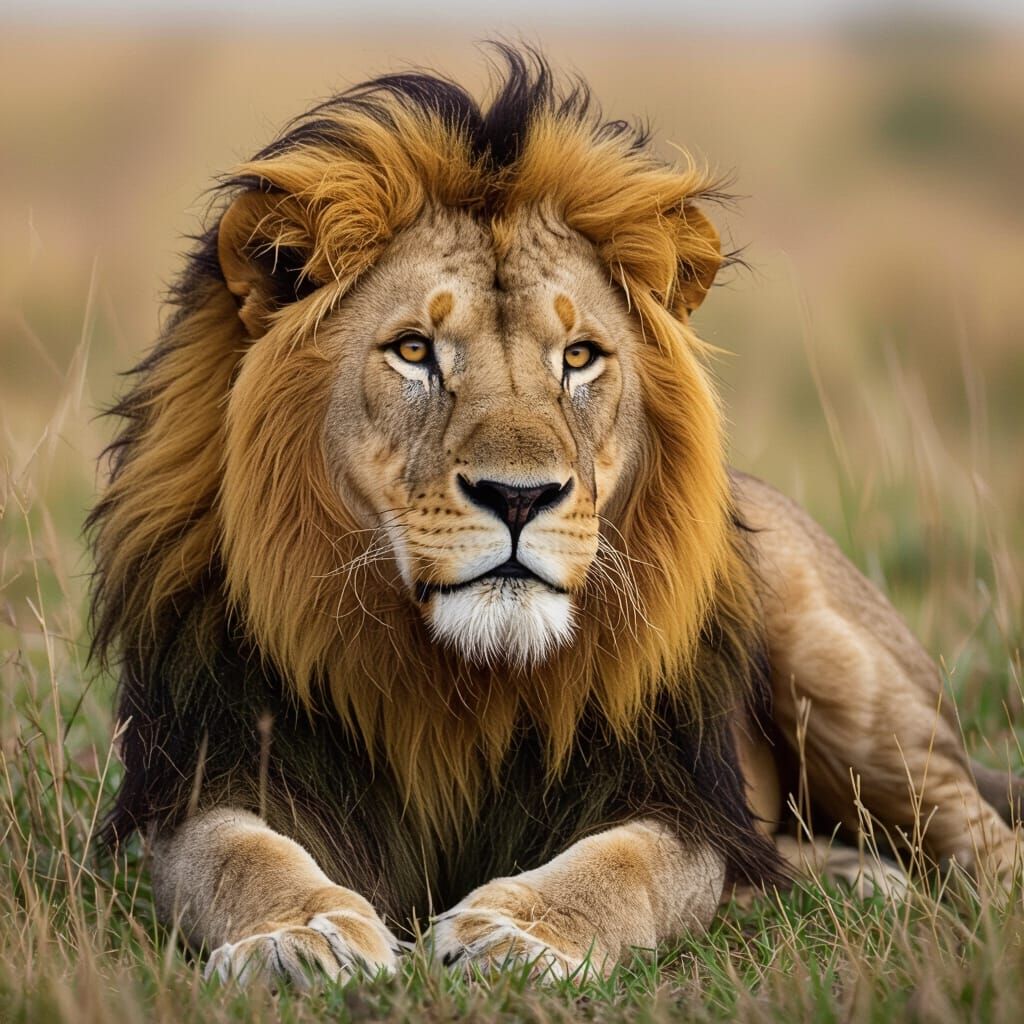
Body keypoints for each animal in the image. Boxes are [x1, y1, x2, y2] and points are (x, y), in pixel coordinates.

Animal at [89, 48, 1021, 987]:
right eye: (414, 351)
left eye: (578, 357)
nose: (519, 496)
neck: (462, 684)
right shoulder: (213, 770)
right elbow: (240, 855)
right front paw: (302, 933)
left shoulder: (676, 796)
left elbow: (623, 865)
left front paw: (517, 933)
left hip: (854, 687)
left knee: (982, 840)